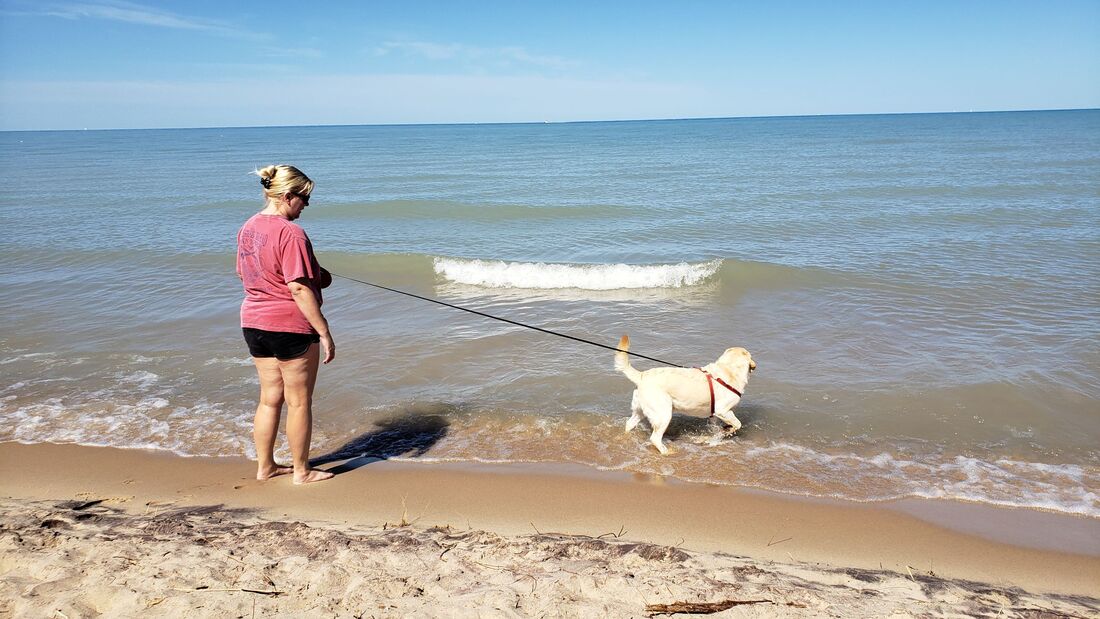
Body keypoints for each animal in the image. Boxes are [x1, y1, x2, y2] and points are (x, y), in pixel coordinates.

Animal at [616, 334, 752, 455]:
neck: (728, 370)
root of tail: (642, 375)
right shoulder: (722, 410)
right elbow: (737, 424)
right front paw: (726, 431)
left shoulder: (714, 415)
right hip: (663, 414)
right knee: (655, 438)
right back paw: (667, 452)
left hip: (640, 410)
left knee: (629, 424)